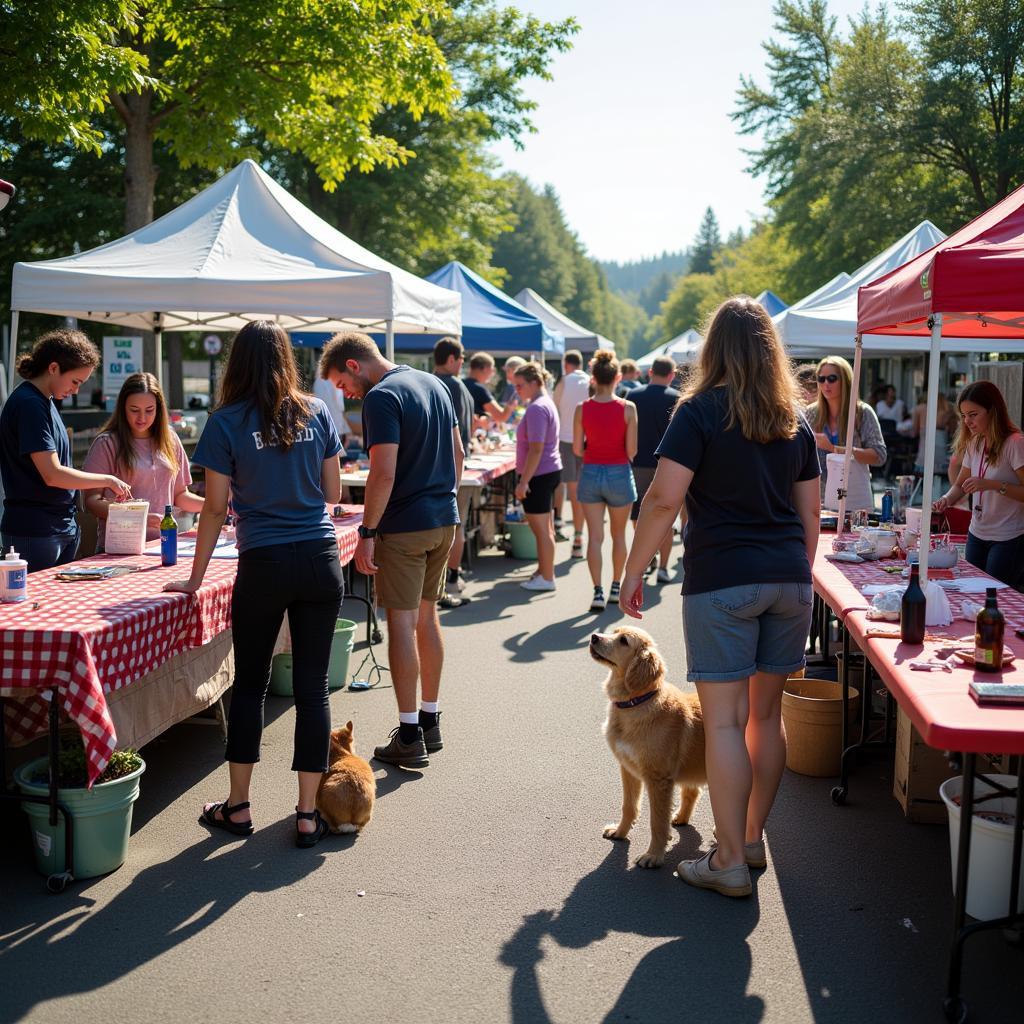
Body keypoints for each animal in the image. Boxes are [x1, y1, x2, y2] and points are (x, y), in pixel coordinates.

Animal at [585, 618, 704, 868]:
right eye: (615, 632)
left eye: (623, 641)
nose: (593, 637)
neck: (635, 703)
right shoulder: (628, 768)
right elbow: (629, 806)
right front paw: (620, 833)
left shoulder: (658, 779)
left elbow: (657, 822)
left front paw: (654, 855)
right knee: (693, 791)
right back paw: (681, 817)